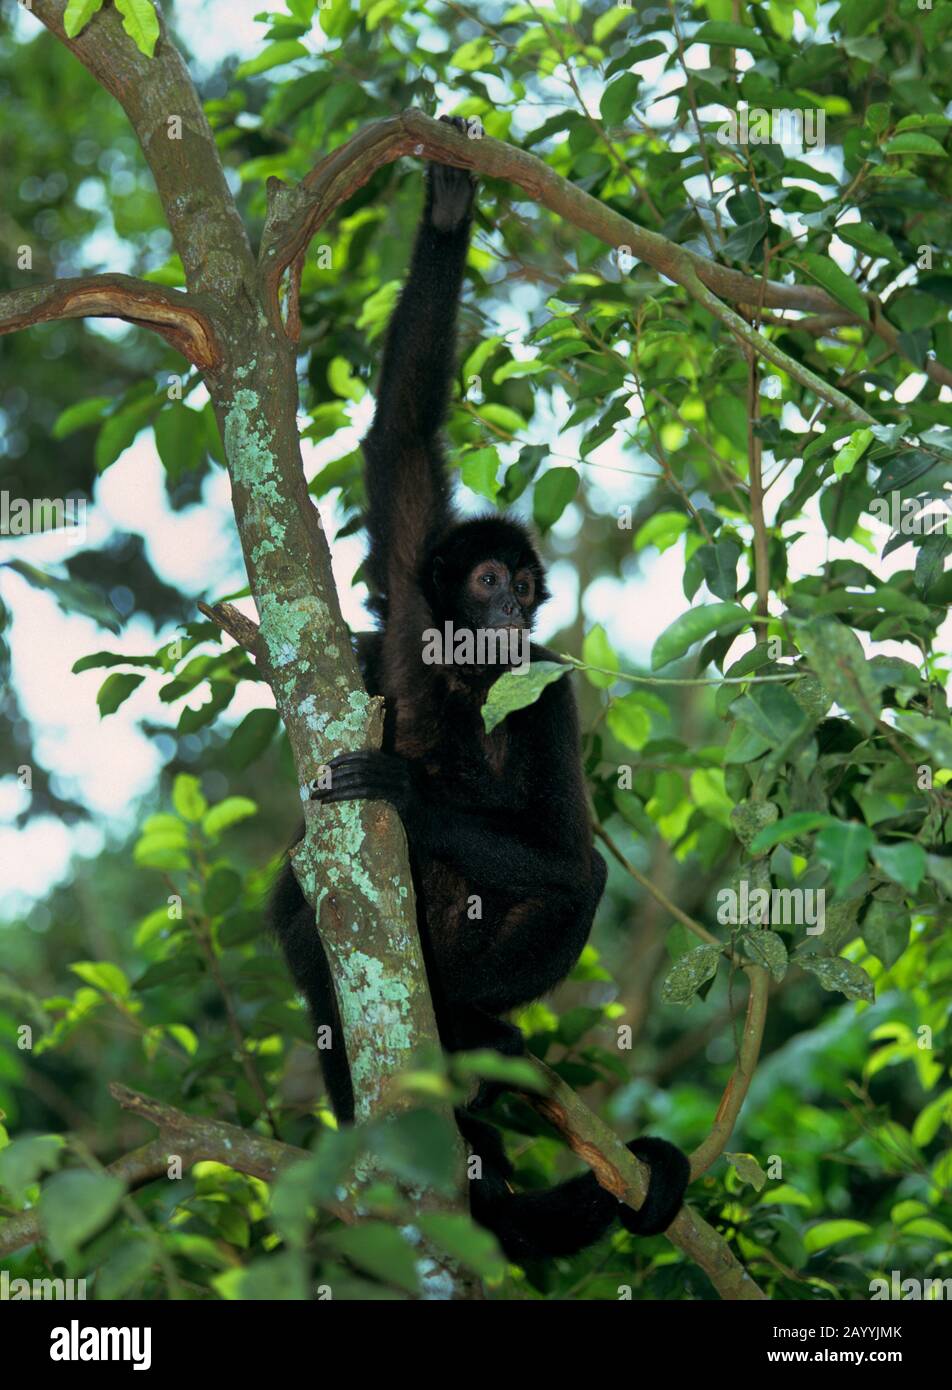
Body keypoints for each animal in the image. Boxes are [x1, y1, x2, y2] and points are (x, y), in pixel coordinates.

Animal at [269, 125, 689, 1267]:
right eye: (490, 578)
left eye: (528, 588)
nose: (514, 608)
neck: (466, 673)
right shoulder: (416, 602)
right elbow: (402, 437)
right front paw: (446, 210)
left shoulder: (550, 691)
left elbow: (565, 850)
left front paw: (409, 794)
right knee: (298, 904)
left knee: (577, 879)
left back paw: (471, 1033)